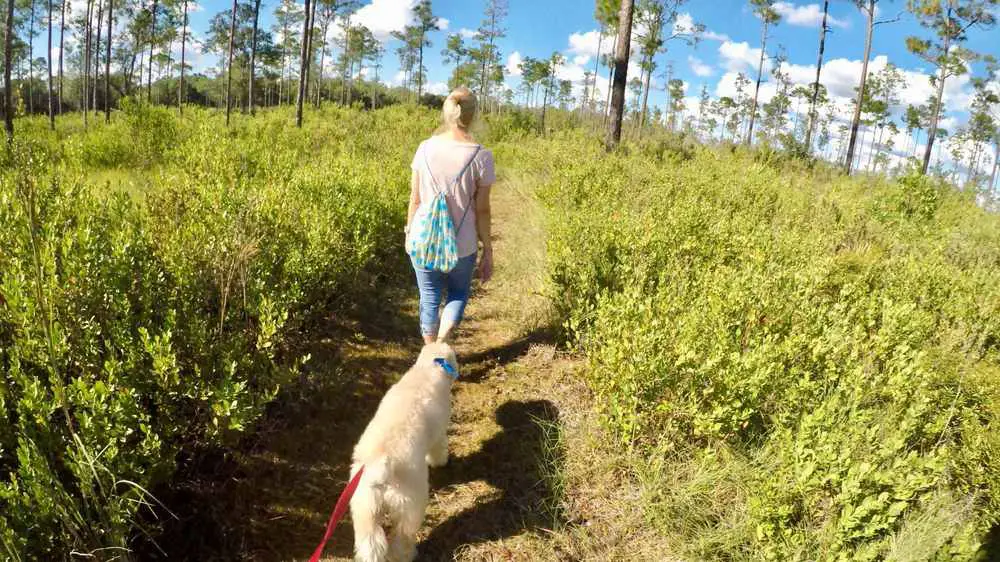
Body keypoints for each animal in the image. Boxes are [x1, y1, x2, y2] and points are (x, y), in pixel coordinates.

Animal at [350, 340, 458, 556]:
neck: (426, 370)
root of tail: (381, 470)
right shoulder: (439, 434)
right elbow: (439, 450)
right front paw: (440, 462)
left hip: (365, 509)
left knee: (371, 544)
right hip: (410, 507)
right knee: (402, 540)